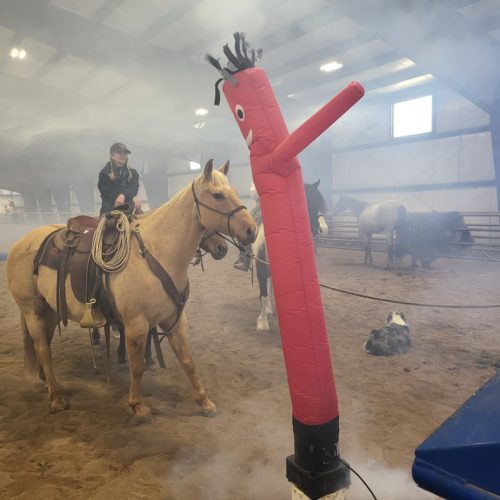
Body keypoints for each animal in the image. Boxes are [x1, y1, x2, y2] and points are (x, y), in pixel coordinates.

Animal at [6, 160, 258, 418]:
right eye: (218, 195)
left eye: (234, 191)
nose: (251, 230)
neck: (155, 252)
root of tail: (20, 243)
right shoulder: (136, 324)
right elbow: (137, 366)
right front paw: (137, 404)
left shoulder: (174, 320)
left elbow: (187, 361)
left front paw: (204, 401)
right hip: (32, 310)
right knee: (43, 350)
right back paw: (56, 398)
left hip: (50, 310)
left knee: (43, 346)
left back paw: (46, 381)